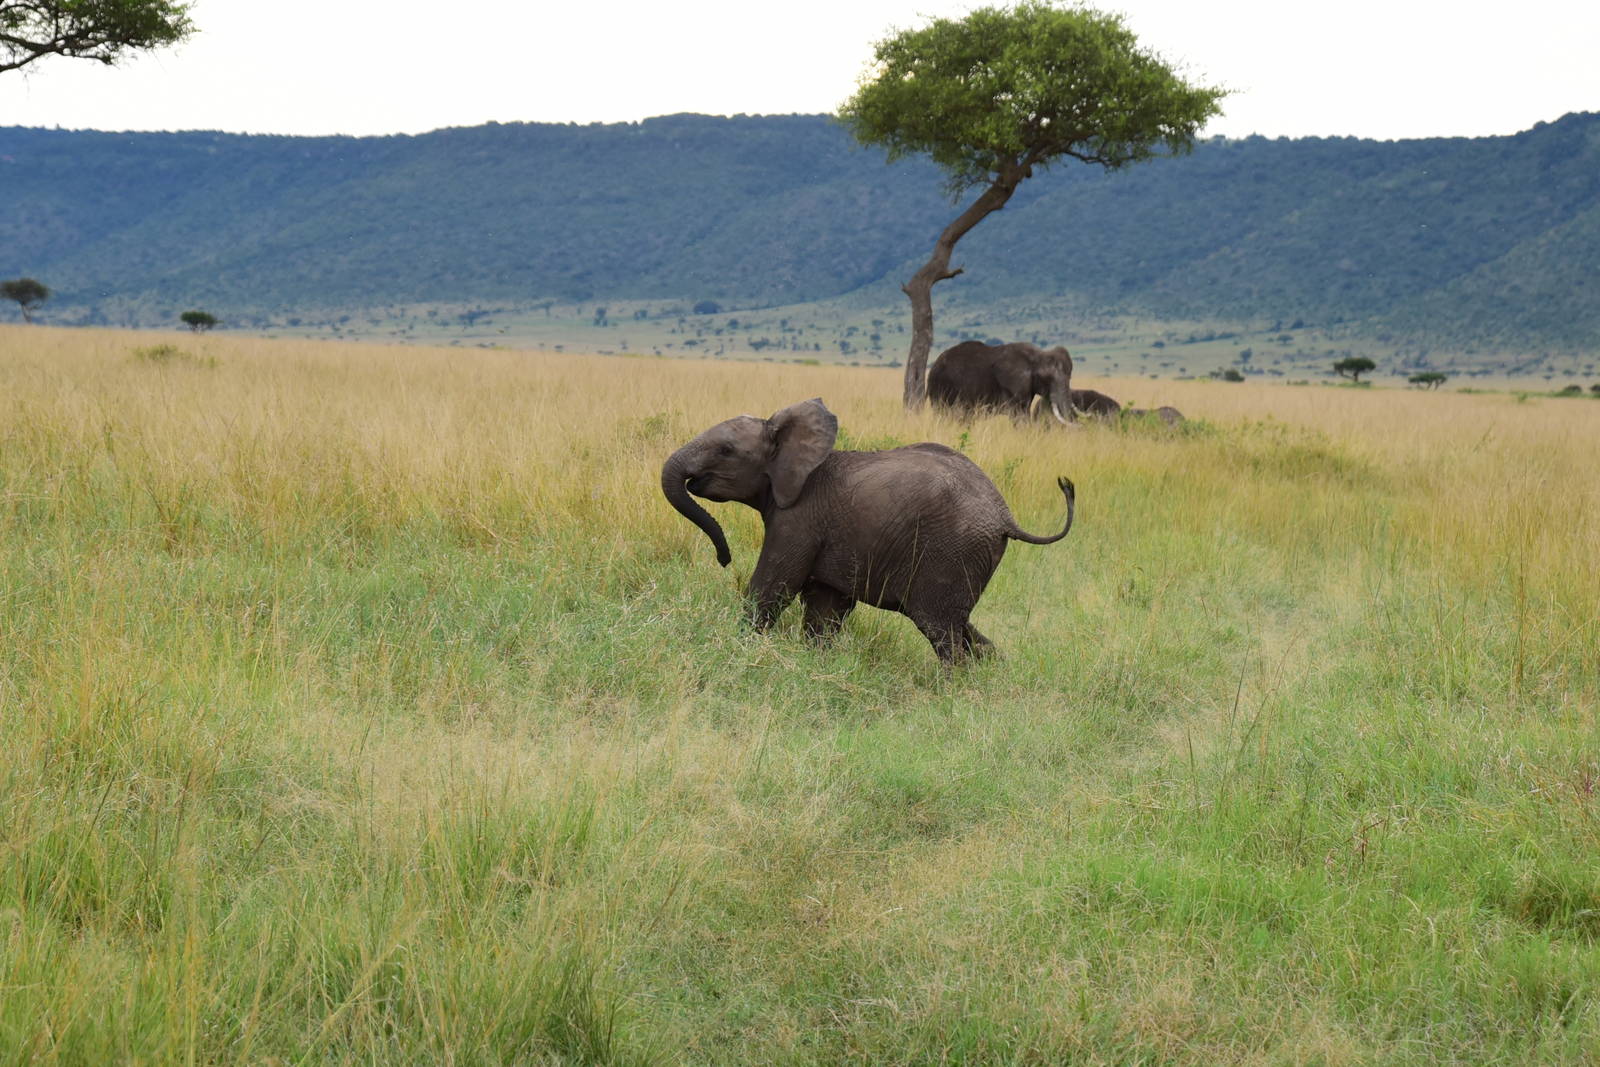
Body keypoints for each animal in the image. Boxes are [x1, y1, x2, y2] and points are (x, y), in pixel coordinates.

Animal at [661, 398, 1076, 664]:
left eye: (726, 451)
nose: (724, 558)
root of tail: (1005, 516)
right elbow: (824, 610)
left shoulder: (799, 519)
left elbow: (772, 589)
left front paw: (737, 649)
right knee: (963, 627)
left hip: (950, 552)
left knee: (941, 630)